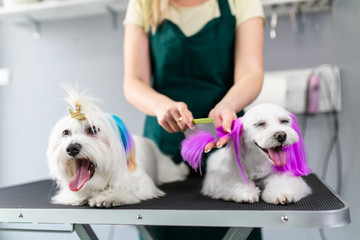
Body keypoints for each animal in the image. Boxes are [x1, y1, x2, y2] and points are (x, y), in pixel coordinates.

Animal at [47, 86, 188, 208]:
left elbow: (126, 189)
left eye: (93, 130)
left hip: (167, 170)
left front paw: (108, 197)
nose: (71, 148)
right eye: (65, 132)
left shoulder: (140, 182)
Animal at [183, 103, 312, 204]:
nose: (281, 135)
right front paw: (246, 192)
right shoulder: (220, 179)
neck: (258, 161)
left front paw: (281, 192)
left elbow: (284, 182)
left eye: (284, 121)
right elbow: (233, 182)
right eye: (260, 124)